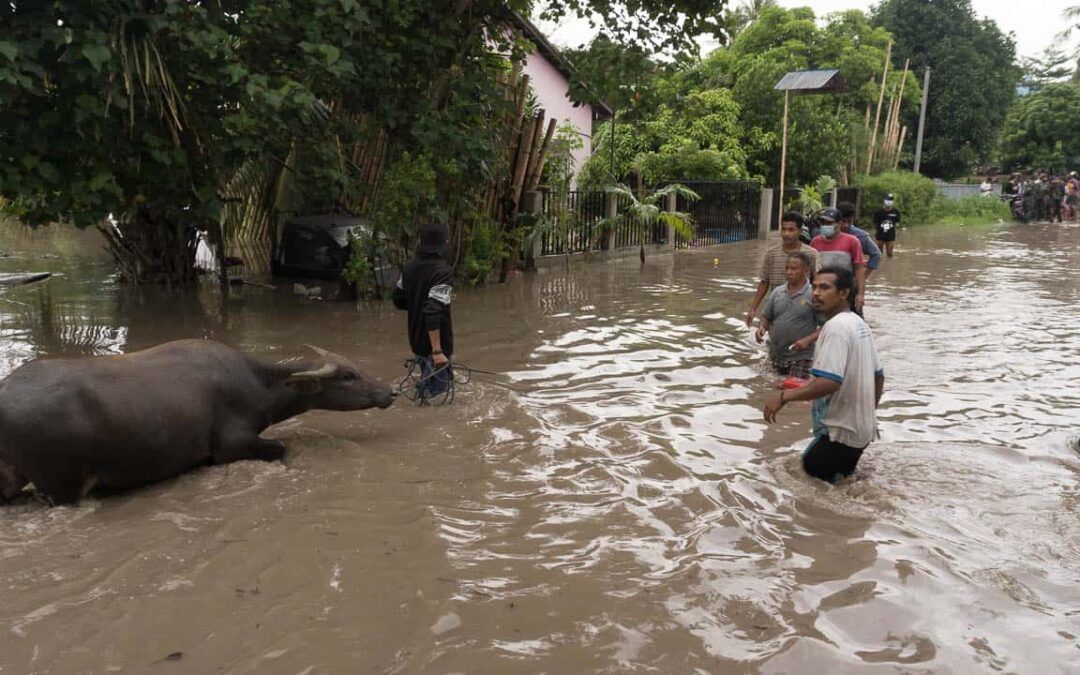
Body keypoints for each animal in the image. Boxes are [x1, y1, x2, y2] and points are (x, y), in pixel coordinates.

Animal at [0, 339, 395, 503]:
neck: (259, 384)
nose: (389, 391)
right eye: (349, 375)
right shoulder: (230, 446)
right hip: (61, 486)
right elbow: (281, 448)